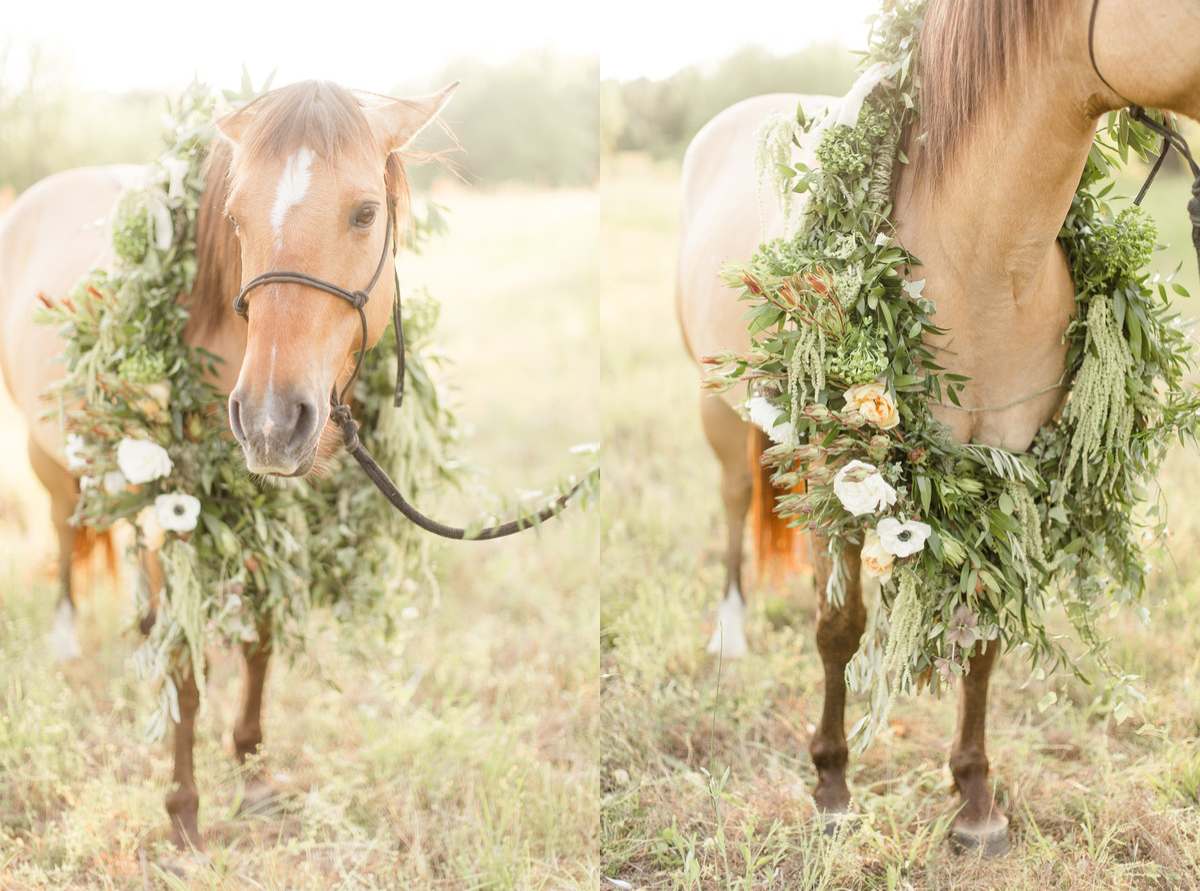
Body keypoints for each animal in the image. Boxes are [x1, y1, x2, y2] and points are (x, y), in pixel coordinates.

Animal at [0, 78, 453, 850]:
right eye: (236, 219)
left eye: (366, 212)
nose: (271, 421)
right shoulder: (182, 509)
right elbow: (188, 666)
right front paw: (183, 807)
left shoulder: (268, 518)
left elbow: (260, 643)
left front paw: (253, 773)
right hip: (56, 459)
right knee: (65, 531)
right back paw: (66, 639)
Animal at [681, 0, 1200, 859]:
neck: (985, 261)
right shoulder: (838, 469)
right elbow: (839, 626)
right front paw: (831, 788)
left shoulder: (1007, 476)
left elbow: (983, 639)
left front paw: (975, 801)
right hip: (718, 411)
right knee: (730, 503)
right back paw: (729, 633)